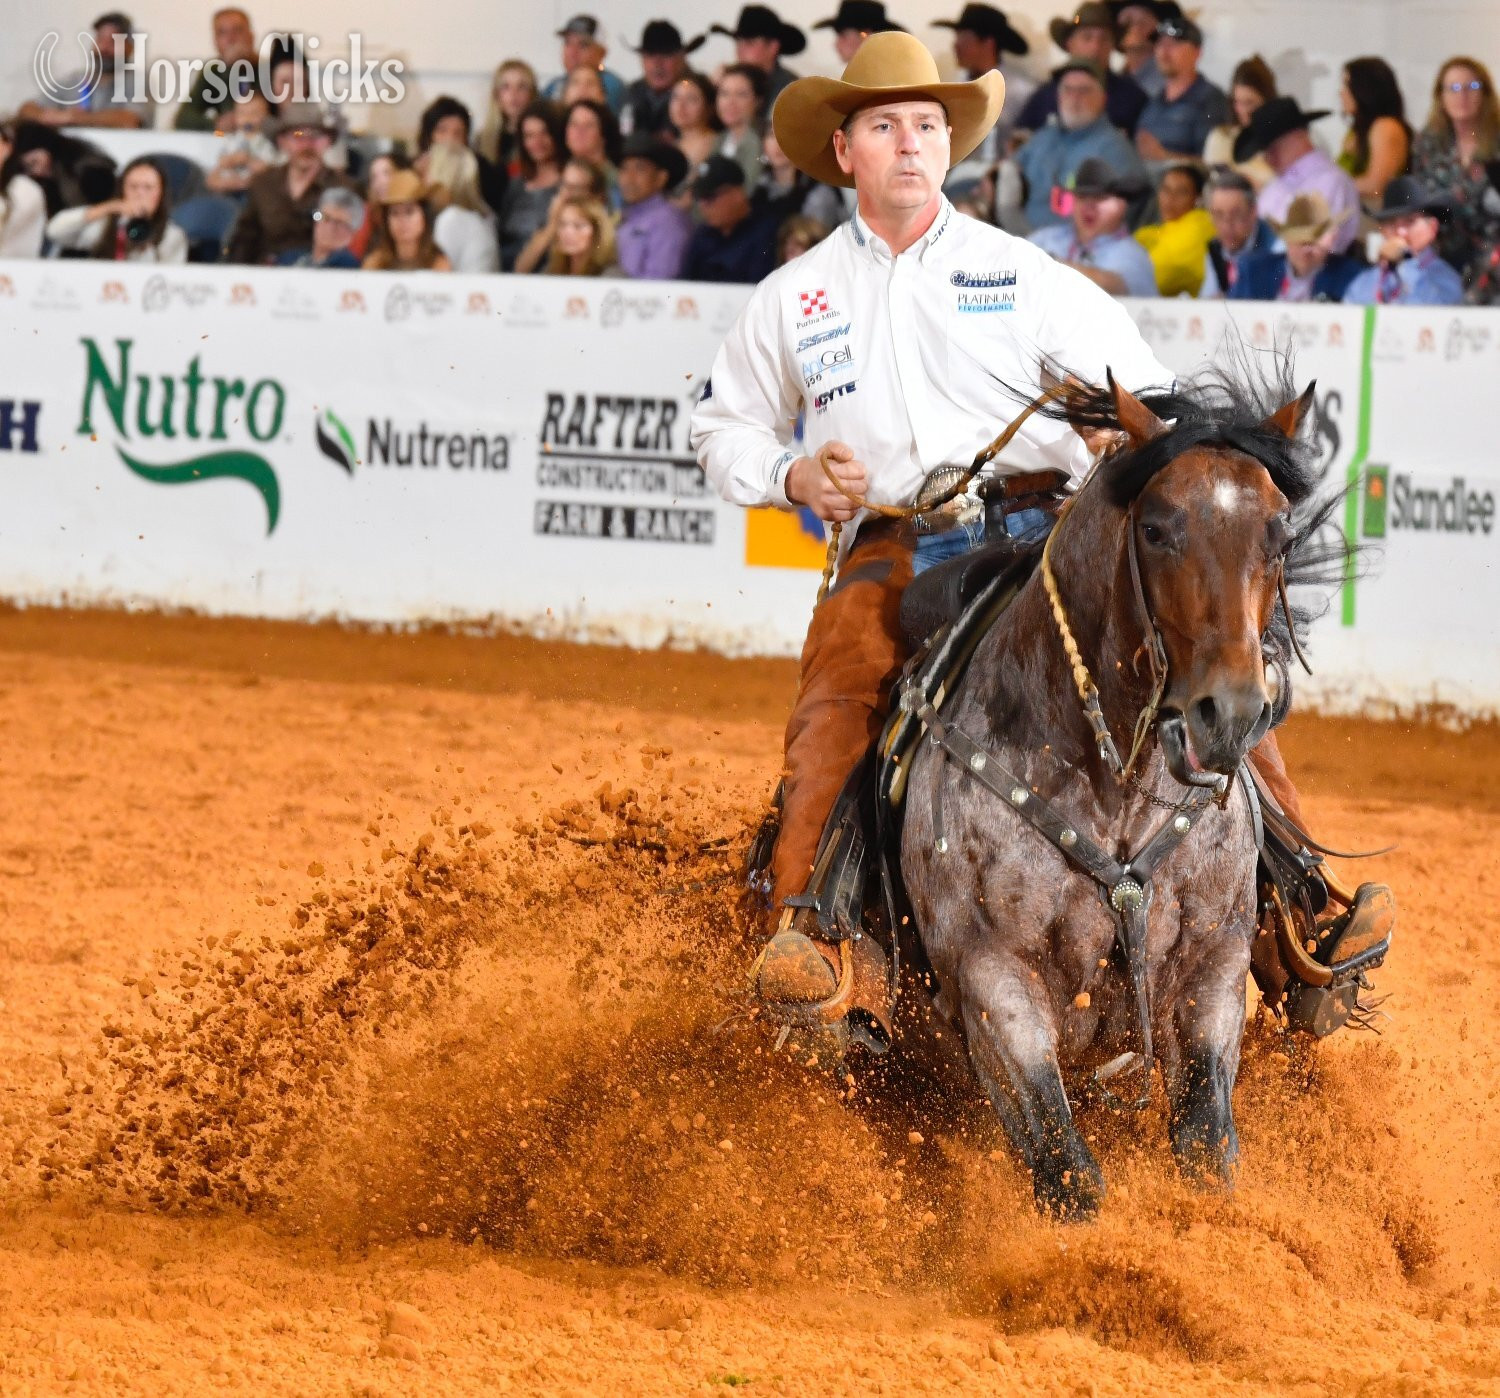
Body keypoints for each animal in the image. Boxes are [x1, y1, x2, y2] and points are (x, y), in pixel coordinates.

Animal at [898, 364, 1338, 1220]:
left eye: (1277, 533)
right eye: (1158, 528)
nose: (1231, 713)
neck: (1116, 795)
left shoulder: (1214, 962)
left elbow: (1205, 1141)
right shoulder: (991, 978)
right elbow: (1065, 1168)